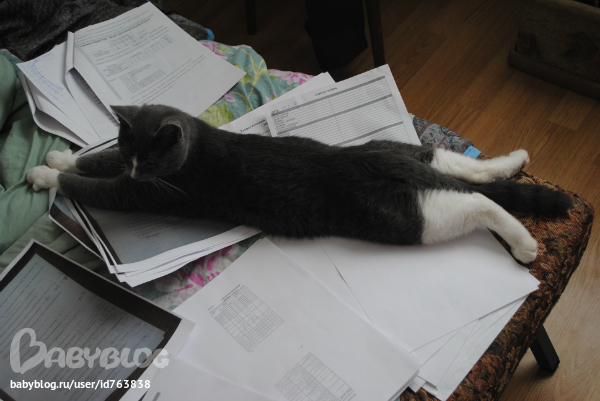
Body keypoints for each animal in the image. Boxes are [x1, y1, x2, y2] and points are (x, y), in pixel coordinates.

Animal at [27, 104, 573, 264]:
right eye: (129, 148)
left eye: (150, 157)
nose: (137, 168)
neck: (198, 141)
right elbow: (96, 160)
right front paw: (59, 154)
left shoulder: (144, 191)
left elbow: (93, 186)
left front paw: (49, 173)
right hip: (414, 154)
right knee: (471, 172)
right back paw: (515, 159)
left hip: (413, 216)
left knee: (479, 202)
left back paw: (525, 246)